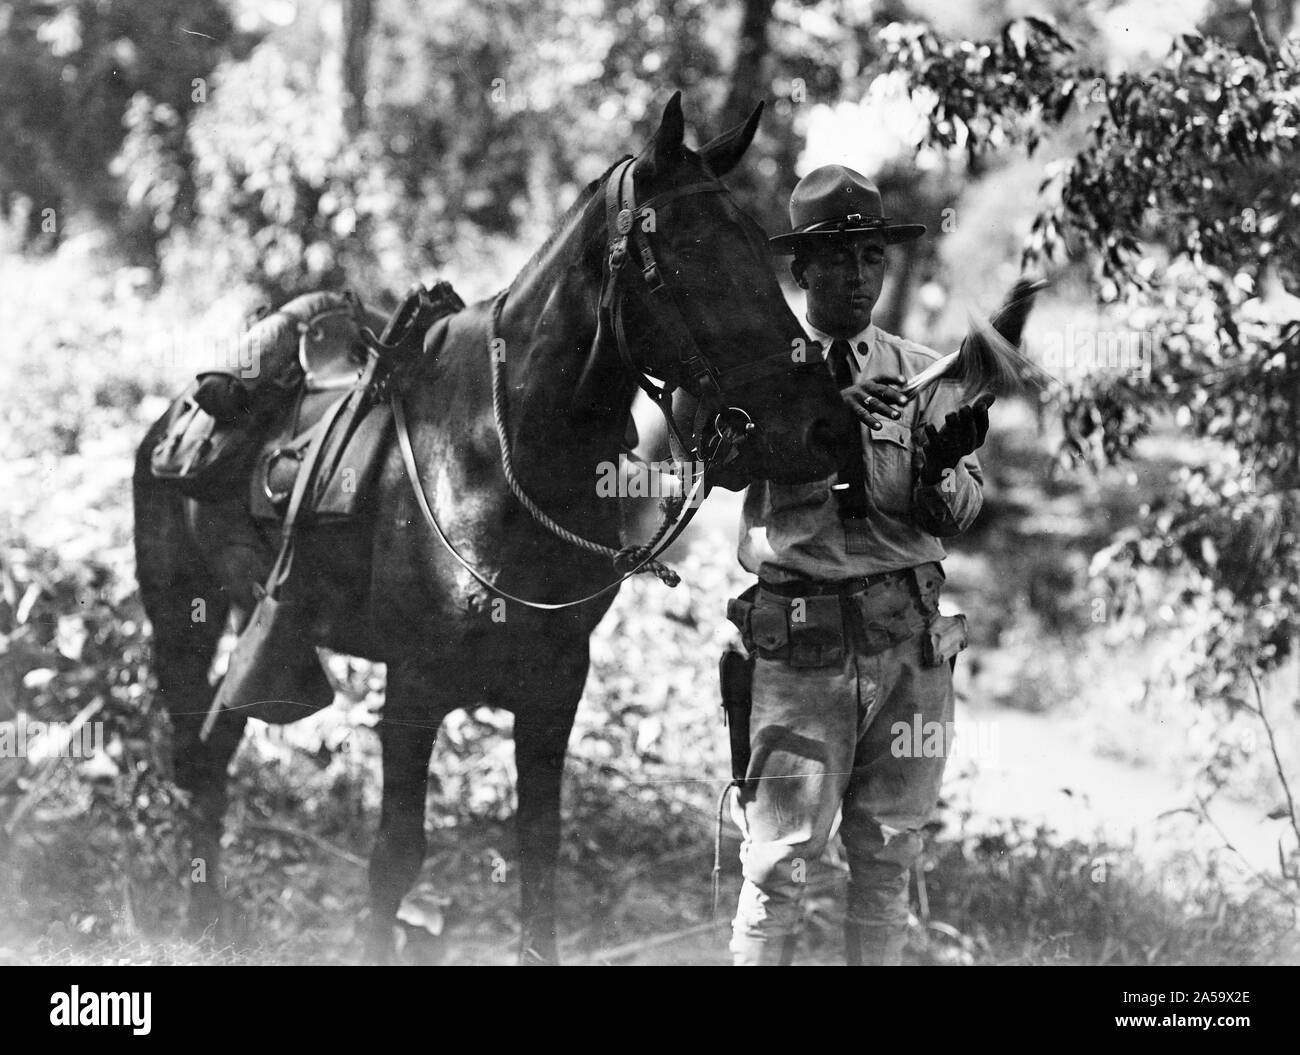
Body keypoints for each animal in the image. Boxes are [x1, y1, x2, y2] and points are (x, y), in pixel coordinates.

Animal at [131, 92, 852, 966]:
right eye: (688, 254)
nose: (822, 426)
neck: (497, 461)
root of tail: (174, 415)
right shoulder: (414, 689)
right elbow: (395, 857)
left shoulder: (555, 687)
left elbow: (538, 849)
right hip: (183, 618)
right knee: (192, 755)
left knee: (212, 756)